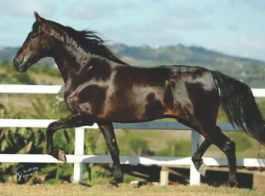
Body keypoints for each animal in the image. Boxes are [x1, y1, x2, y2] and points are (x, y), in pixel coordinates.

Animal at [13, 12, 264, 185]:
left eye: (33, 35)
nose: (17, 62)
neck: (87, 72)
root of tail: (211, 75)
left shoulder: (84, 117)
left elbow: (51, 126)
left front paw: (60, 155)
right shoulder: (103, 120)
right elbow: (113, 148)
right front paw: (116, 179)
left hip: (198, 119)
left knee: (227, 144)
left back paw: (229, 181)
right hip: (193, 119)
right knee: (215, 139)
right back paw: (197, 161)